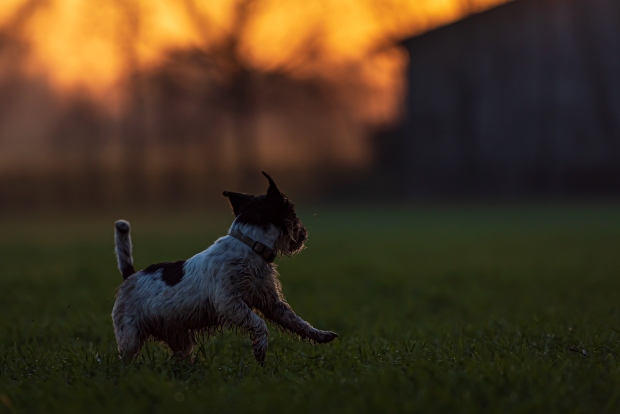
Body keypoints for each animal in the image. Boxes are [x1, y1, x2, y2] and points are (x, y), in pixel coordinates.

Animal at [109, 171, 336, 362]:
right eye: (292, 212)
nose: (304, 233)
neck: (250, 246)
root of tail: (130, 276)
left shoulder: (272, 303)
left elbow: (298, 323)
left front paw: (320, 335)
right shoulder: (229, 302)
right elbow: (259, 323)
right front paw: (260, 348)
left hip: (179, 339)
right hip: (130, 338)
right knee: (124, 360)